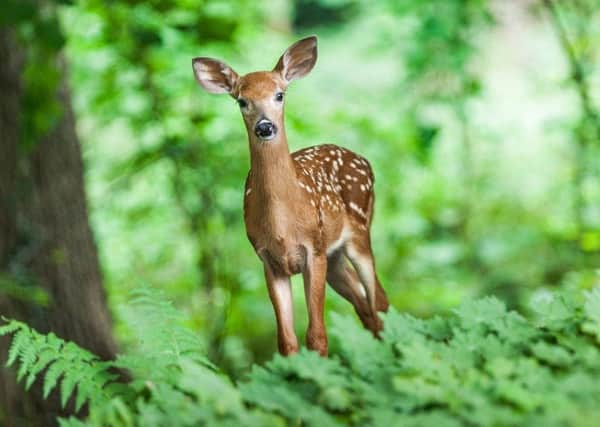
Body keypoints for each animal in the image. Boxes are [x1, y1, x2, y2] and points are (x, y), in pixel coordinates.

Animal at [192, 35, 390, 358]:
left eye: (279, 95)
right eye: (242, 101)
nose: (264, 126)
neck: (283, 225)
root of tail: (365, 160)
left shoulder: (314, 250)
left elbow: (317, 336)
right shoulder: (268, 260)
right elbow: (286, 341)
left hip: (359, 231)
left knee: (379, 301)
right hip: (335, 257)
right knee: (365, 305)